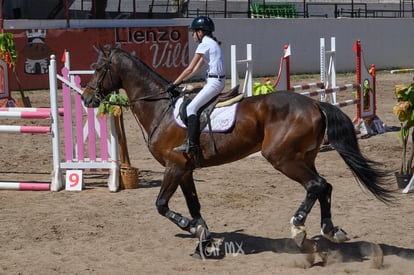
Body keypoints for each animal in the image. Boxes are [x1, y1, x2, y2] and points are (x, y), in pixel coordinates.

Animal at [81, 43, 394, 256]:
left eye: (97, 69)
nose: (86, 98)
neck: (161, 108)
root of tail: (316, 103)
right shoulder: (185, 170)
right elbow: (194, 205)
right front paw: (203, 235)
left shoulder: (174, 166)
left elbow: (161, 205)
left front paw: (193, 229)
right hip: (304, 157)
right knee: (324, 186)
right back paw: (330, 230)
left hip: (282, 158)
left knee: (315, 185)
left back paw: (298, 228)